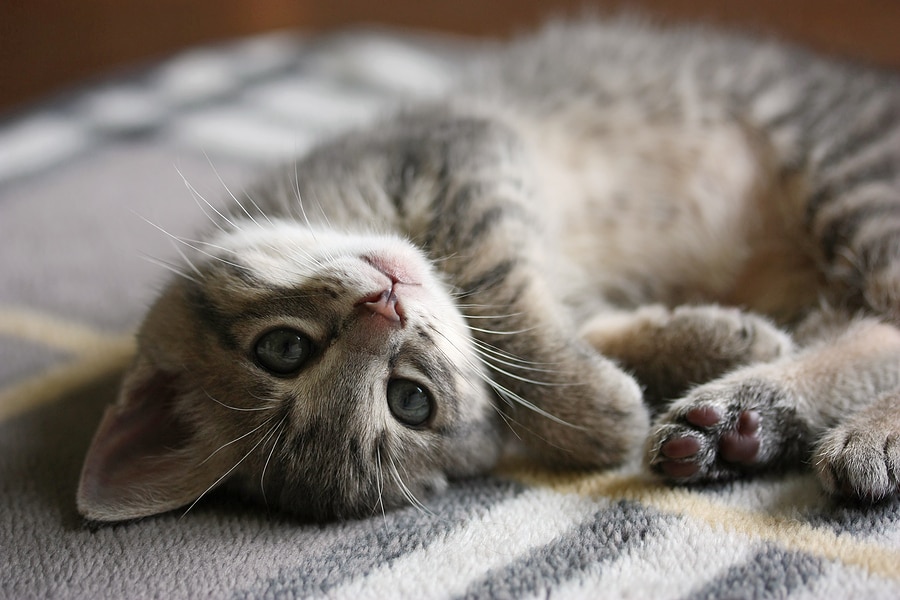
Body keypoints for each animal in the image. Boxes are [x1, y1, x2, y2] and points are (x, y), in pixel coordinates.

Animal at [77, 18, 900, 524]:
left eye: (282, 349)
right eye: (410, 401)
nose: (387, 305)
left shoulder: (462, 150)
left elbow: (501, 299)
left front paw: (598, 404)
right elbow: (573, 336)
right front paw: (705, 344)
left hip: (852, 175)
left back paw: (854, 435)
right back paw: (744, 419)